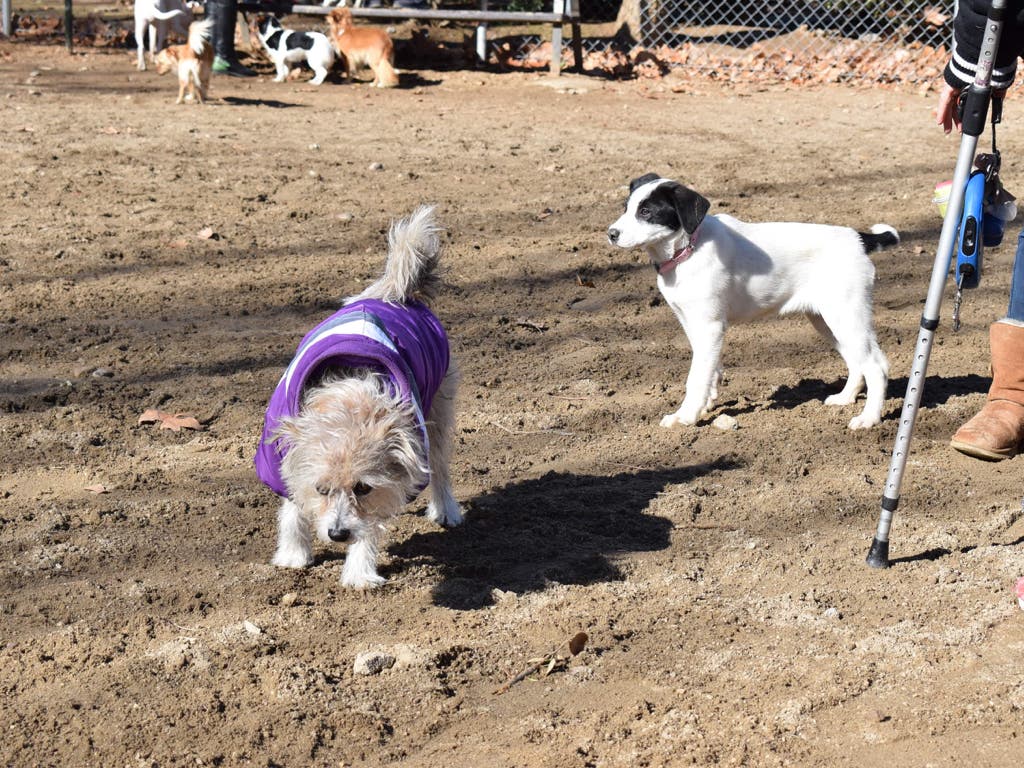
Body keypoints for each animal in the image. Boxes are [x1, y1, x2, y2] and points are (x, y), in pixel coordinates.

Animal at [253, 205, 462, 589]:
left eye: (363, 488)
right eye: (321, 489)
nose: (337, 535)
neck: (347, 405)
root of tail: (395, 294)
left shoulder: (395, 476)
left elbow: (370, 524)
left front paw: (359, 571)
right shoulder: (282, 461)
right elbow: (292, 505)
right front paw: (293, 553)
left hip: (440, 416)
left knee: (440, 468)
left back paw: (446, 510)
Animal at [602, 174, 901, 434]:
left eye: (646, 212)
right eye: (626, 208)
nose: (611, 234)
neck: (689, 249)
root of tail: (858, 239)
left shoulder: (709, 325)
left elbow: (696, 376)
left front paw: (685, 416)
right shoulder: (691, 322)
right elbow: (708, 366)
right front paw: (707, 401)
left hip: (846, 315)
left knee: (876, 366)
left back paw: (869, 419)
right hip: (826, 320)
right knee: (857, 361)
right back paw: (845, 398)